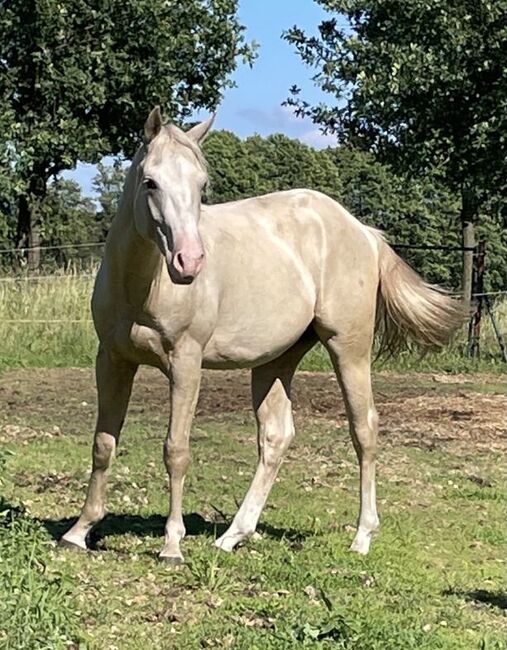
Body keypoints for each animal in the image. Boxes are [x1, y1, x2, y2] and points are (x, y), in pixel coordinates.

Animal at [60, 106, 464, 560]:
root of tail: (363, 232)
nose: (189, 261)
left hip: (349, 349)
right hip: (276, 360)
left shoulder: (186, 363)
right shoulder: (112, 360)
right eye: (150, 182)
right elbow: (103, 443)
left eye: (202, 184)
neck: (142, 287)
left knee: (364, 429)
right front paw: (79, 531)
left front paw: (172, 545)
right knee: (276, 436)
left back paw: (361, 536)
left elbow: (176, 450)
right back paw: (233, 535)